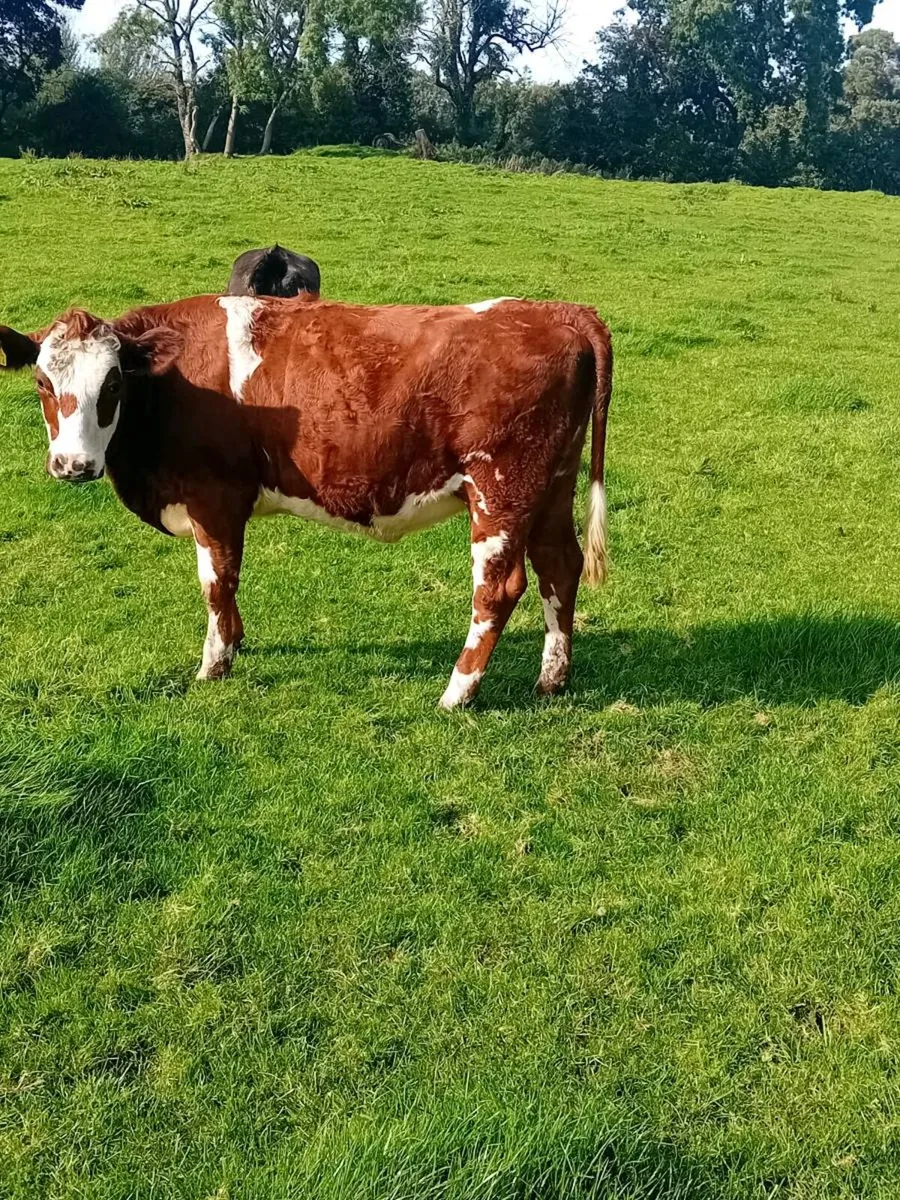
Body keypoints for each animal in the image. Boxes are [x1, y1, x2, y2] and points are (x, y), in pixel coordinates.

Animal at [0, 296, 611, 708]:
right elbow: (226, 586)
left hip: (501, 490)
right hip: (551, 489)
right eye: (42, 383)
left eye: (113, 385)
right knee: (560, 567)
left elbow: (217, 582)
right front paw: (235, 642)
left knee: (498, 589)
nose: (73, 465)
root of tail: (558, 310)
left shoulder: (214, 496)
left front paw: (213, 665)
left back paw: (456, 693)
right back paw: (552, 679)